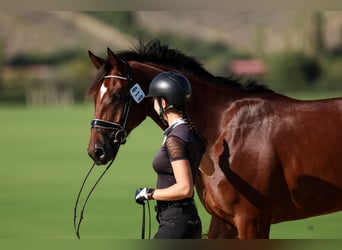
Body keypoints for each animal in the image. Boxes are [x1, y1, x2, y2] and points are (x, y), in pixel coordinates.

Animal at [85, 39, 342, 238]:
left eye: (117, 95)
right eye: (94, 97)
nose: (96, 150)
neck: (222, 127)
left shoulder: (252, 221)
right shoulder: (224, 221)